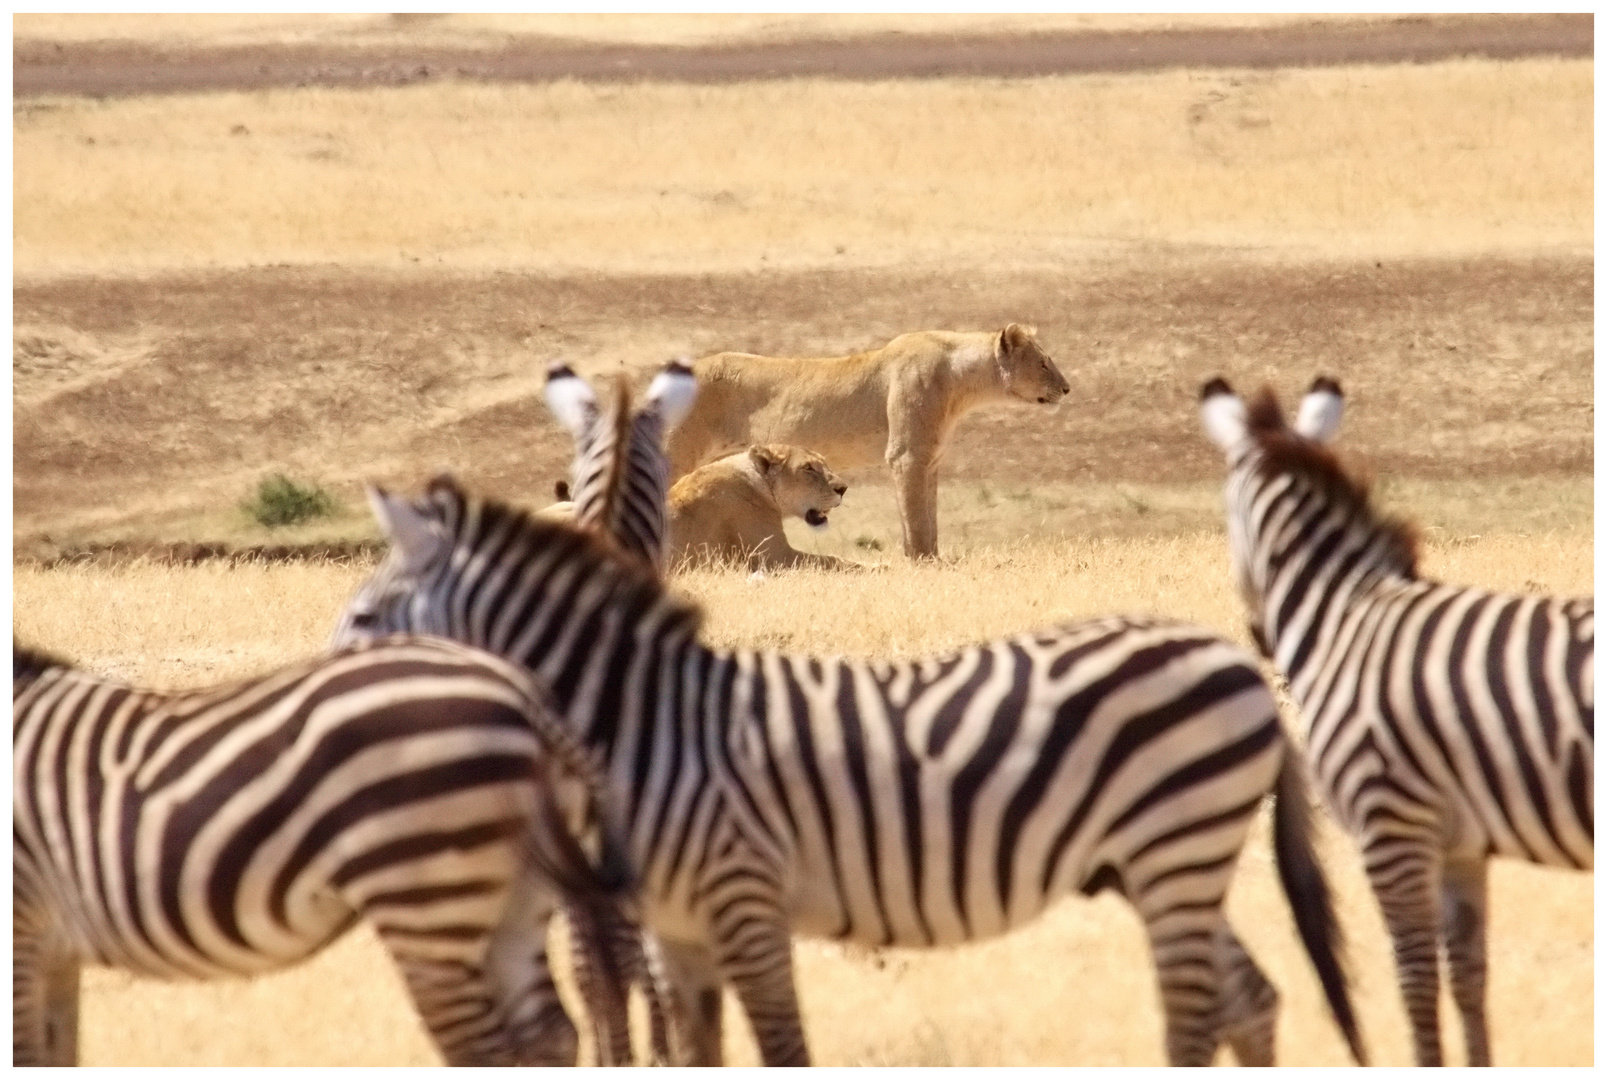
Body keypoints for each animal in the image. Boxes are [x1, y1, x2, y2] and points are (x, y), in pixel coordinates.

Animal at [15, 636, 639, 1067]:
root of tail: (524, 695)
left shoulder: (22, 924)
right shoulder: (50, 947)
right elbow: (55, 1052)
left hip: (423, 895)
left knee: (482, 1049)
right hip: (515, 894)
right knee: (549, 1034)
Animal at [329, 475, 1369, 1067]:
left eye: (364, 618)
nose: (328, 698)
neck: (649, 721)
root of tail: (1237, 665)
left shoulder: (744, 900)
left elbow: (783, 1047)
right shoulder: (676, 926)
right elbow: (699, 1050)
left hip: (1172, 852)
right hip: (1167, 863)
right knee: (1248, 997)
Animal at [1195, 376, 1594, 1067]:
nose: (1259, 638)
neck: (1345, 613)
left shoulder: (1390, 829)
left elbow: (1415, 979)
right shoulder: (1460, 844)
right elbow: (1468, 975)